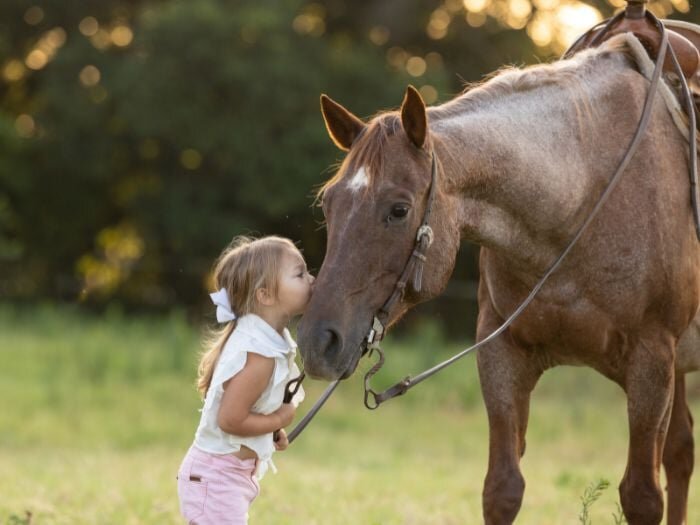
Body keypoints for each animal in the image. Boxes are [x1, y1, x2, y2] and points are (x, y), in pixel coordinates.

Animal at [297, 33, 700, 525]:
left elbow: (641, 496)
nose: (318, 341)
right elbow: (502, 489)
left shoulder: (651, 361)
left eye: (399, 209)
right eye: (329, 203)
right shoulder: (501, 353)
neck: (583, 196)